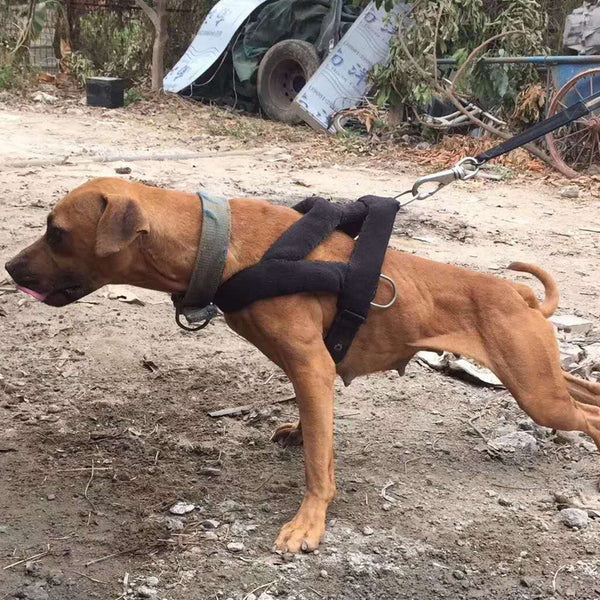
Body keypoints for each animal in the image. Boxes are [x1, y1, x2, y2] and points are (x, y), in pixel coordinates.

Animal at [4, 177, 600, 552]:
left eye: (56, 232)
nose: (9, 267)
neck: (214, 244)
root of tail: (518, 295)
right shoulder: (305, 371)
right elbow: (310, 429)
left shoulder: (314, 368)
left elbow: (318, 463)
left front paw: (309, 523)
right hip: (540, 378)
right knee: (584, 390)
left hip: (538, 394)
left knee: (587, 416)